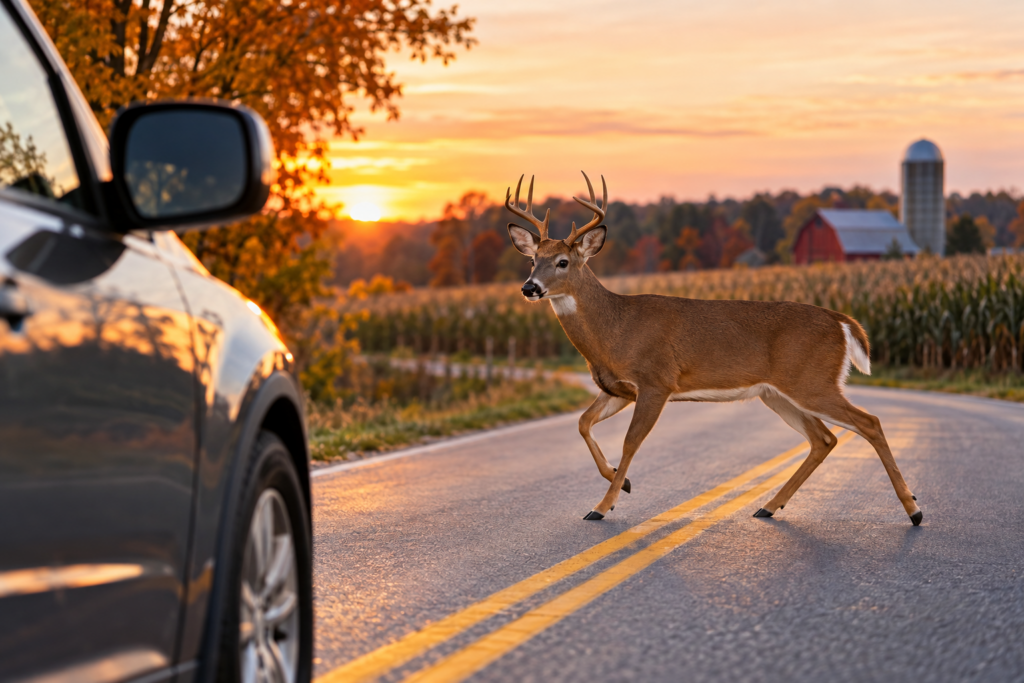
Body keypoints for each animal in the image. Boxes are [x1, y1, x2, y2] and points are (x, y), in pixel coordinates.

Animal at [504, 172, 923, 526]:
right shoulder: (619, 388)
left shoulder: (657, 380)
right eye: (532, 259)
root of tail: (840, 320)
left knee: (869, 422)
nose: (529, 288)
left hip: (812, 381)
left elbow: (630, 442)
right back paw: (769, 506)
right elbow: (583, 422)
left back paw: (914, 510)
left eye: (562, 262)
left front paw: (603, 506)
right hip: (778, 392)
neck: (615, 330)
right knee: (824, 438)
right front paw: (621, 483)